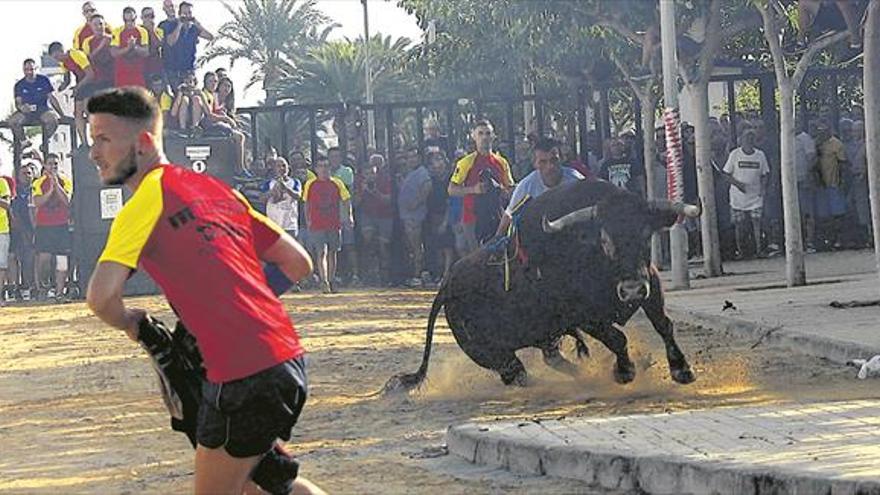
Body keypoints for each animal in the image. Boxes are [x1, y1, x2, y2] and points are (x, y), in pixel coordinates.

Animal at [388, 180, 704, 390]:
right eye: (604, 239)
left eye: (645, 234)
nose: (631, 289)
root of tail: (446, 286)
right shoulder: (582, 316)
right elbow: (617, 338)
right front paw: (624, 371)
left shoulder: (651, 285)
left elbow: (664, 325)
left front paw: (681, 369)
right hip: (489, 352)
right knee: (516, 374)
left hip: (540, 334)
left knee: (552, 359)